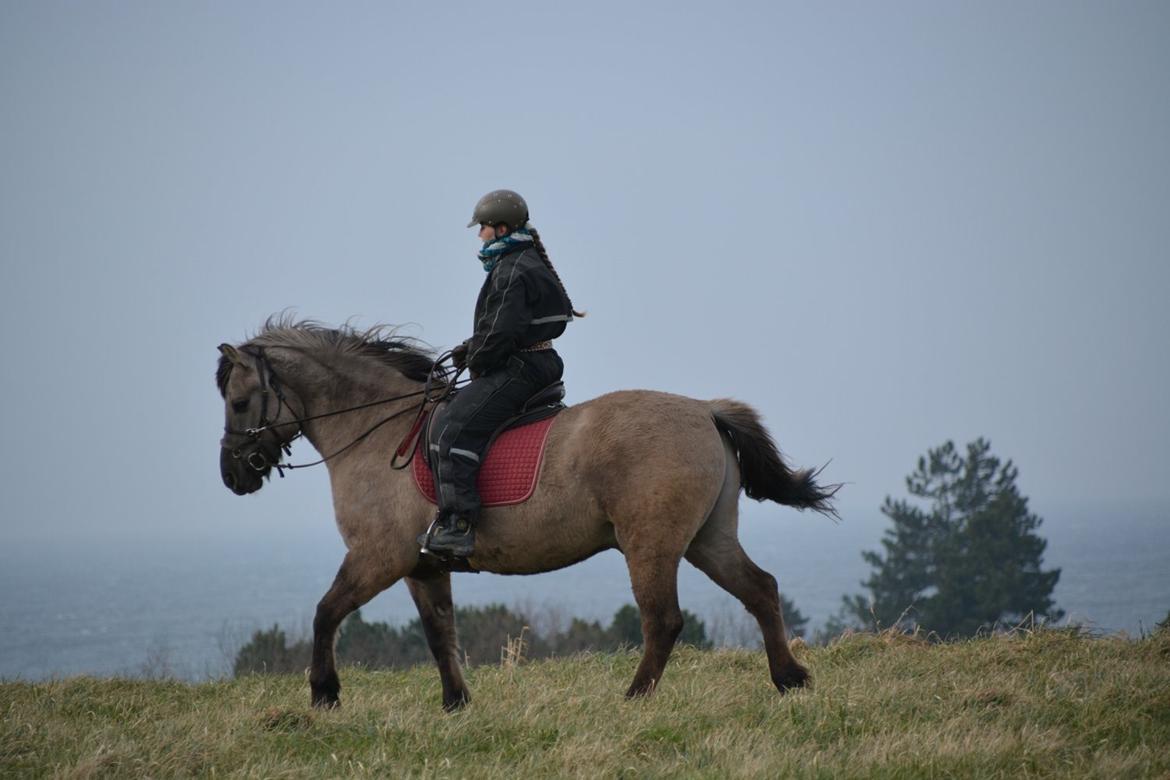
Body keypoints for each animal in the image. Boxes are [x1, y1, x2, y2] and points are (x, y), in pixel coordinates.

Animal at [219, 320, 837, 711]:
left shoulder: (378, 556)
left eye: (239, 401)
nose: (233, 476)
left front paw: (324, 693)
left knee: (663, 621)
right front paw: (456, 703)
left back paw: (635, 699)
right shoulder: (422, 565)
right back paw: (790, 680)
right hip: (708, 538)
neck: (378, 432)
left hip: (652, 545)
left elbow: (326, 613)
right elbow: (438, 633)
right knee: (760, 589)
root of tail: (705, 410)